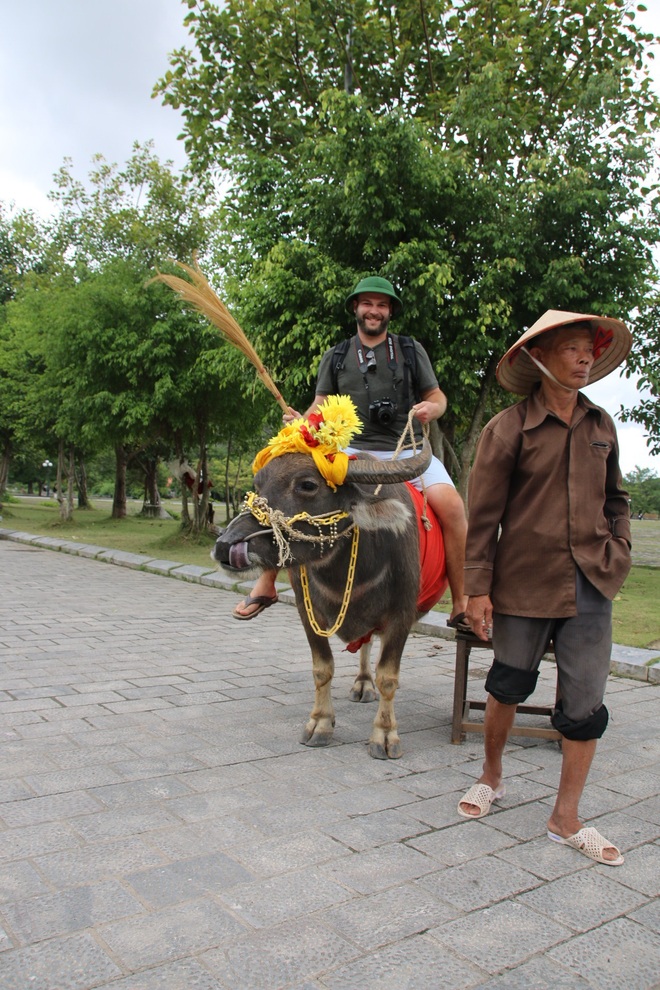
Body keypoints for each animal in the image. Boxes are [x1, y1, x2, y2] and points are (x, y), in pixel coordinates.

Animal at [214, 442, 446, 760]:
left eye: (307, 485)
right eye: (257, 484)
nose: (225, 545)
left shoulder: (402, 614)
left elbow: (388, 676)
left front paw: (385, 735)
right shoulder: (306, 611)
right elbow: (322, 668)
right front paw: (320, 723)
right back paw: (362, 683)